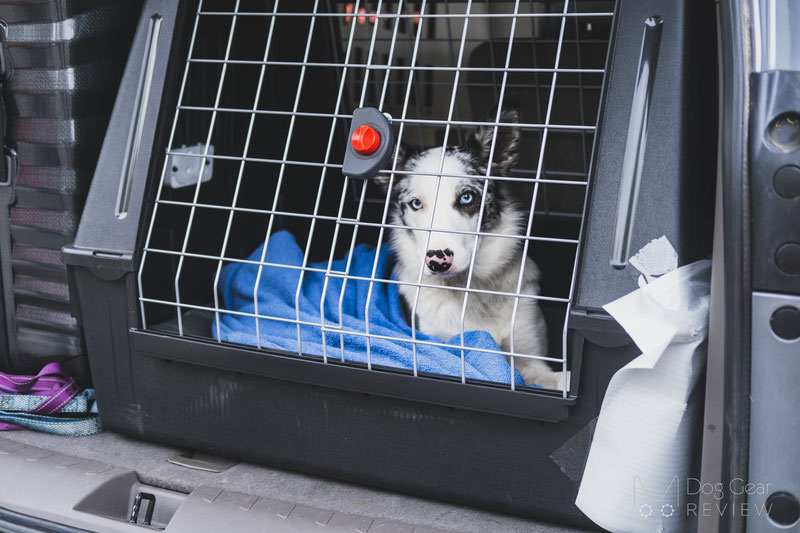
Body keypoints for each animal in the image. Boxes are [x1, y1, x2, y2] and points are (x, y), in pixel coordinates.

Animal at [376, 110, 568, 388]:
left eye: (466, 197)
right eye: (416, 203)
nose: (438, 261)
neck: (470, 288)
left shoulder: (529, 357)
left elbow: (559, 378)